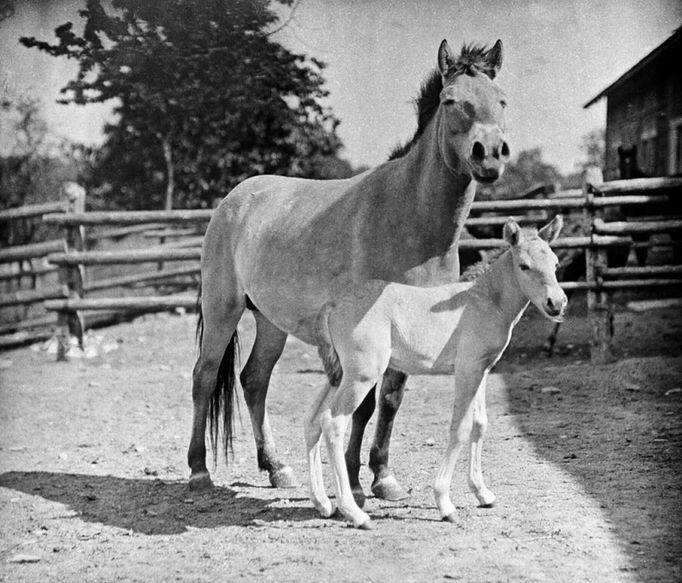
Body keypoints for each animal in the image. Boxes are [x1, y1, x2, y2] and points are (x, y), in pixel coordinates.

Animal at [189, 40, 508, 498]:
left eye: (501, 100)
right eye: (450, 101)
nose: (490, 154)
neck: (408, 217)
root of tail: (234, 199)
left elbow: (389, 400)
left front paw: (382, 476)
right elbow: (367, 402)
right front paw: (355, 482)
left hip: (271, 320)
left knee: (254, 380)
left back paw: (276, 468)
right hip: (222, 309)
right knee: (205, 376)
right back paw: (199, 471)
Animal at [306, 216, 564, 528]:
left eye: (555, 263)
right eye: (524, 266)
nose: (556, 303)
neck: (484, 300)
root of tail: (333, 304)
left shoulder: (482, 369)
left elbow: (480, 424)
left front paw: (482, 493)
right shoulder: (467, 369)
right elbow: (460, 427)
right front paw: (445, 503)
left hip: (339, 374)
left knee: (313, 420)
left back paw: (322, 503)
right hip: (361, 376)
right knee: (333, 422)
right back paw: (354, 512)